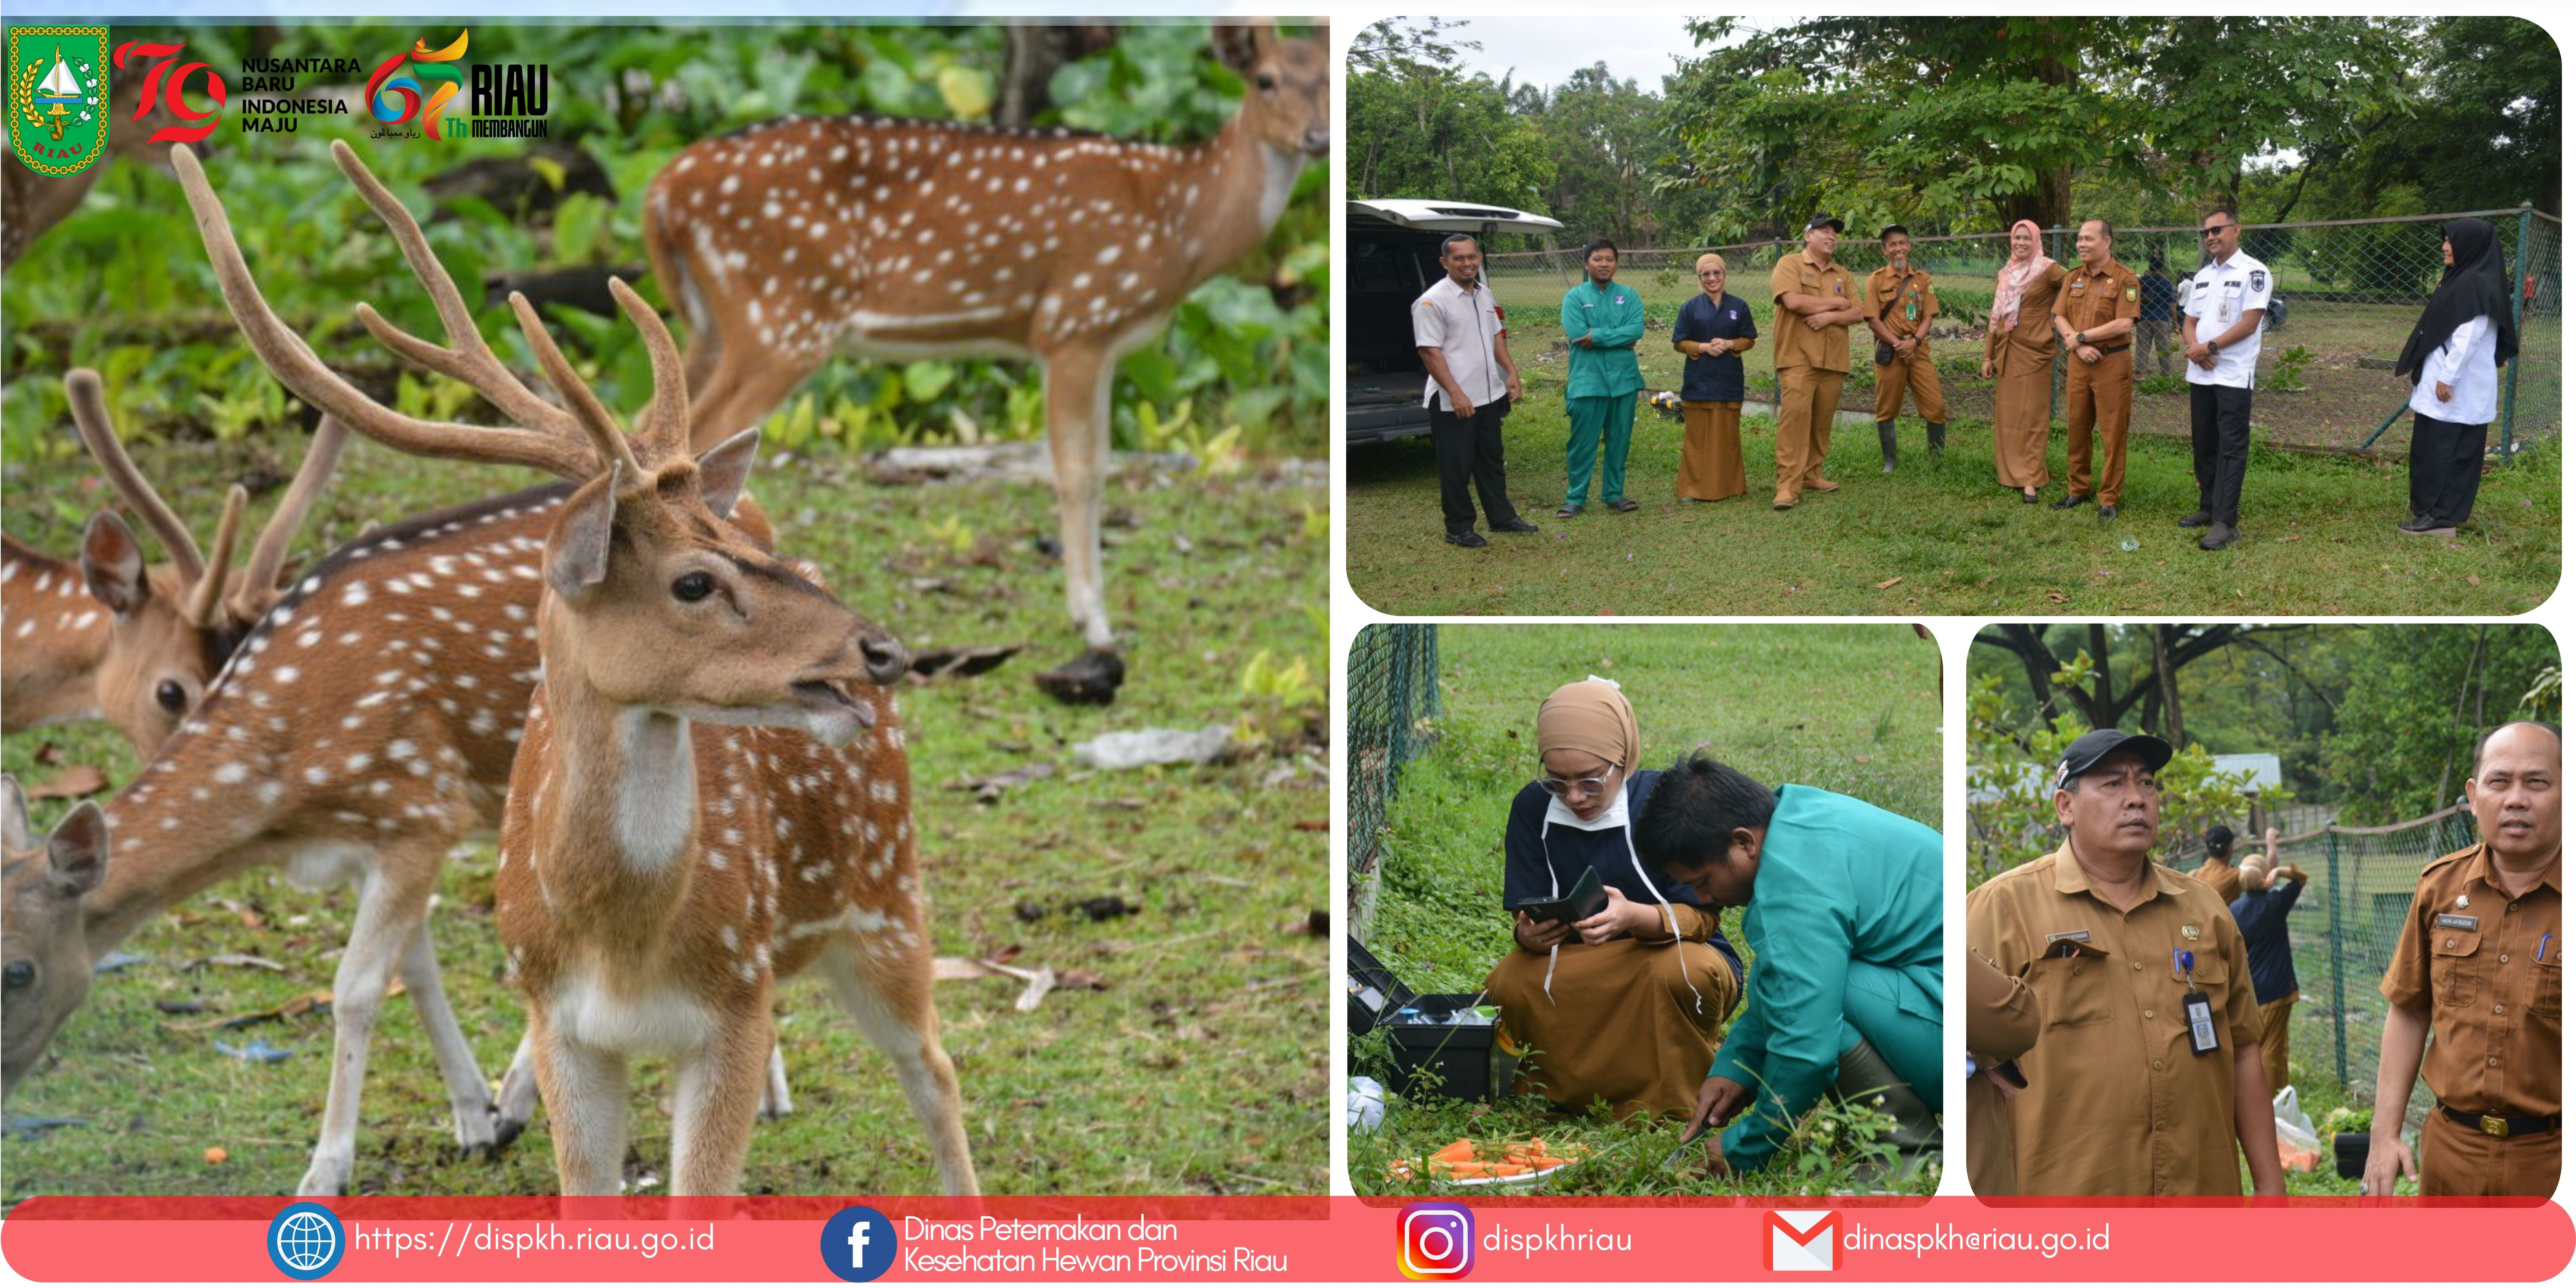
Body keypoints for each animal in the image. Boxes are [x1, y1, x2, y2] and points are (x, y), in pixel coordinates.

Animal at [171, 141, 973, 1195]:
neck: (624, 947)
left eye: (733, 545)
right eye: (693, 580)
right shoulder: (563, 1024)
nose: (881, 650)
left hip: (888, 894)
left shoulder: (733, 1004)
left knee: (937, 1069)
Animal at [641, 18, 1329, 705]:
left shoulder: (1105, 343)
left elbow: (1100, 463)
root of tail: (660, 192)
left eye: (1325, 79)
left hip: (709, 324)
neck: (1179, 226)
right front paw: (1095, 625)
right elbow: (1078, 471)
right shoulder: (1074, 322)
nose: (1318, 138)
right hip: (782, 314)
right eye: (1265, 80)